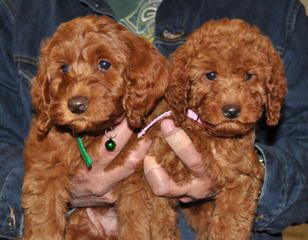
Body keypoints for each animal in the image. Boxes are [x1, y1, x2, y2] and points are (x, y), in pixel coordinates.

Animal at [21, 15, 168, 239]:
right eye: (63, 68)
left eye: (104, 64)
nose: (76, 105)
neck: (94, 134)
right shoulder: (44, 172)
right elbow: (43, 222)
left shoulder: (141, 182)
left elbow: (138, 225)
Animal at [149, 17, 286, 239]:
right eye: (211, 75)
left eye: (249, 75)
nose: (231, 110)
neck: (217, 136)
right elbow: (157, 219)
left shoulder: (242, 176)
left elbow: (231, 220)